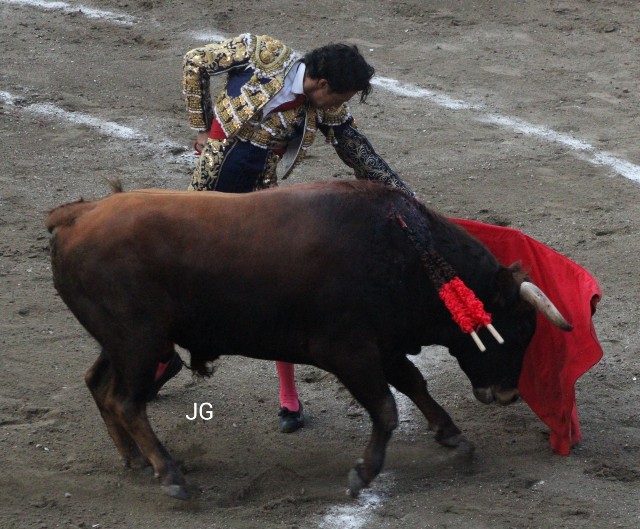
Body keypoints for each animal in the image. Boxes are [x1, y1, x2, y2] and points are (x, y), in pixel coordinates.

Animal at [46, 180, 571, 500]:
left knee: (100, 385)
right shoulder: (349, 351)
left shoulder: (383, 345)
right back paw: (169, 474)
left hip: (122, 342)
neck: (405, 252)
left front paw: (453, 436)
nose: (508, 394)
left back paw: (135, 460)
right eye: (521, 329)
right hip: (138, 341)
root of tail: (75, 217)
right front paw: (362, 474)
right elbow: (386, 407)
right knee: (127, 400)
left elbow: (415, 385)